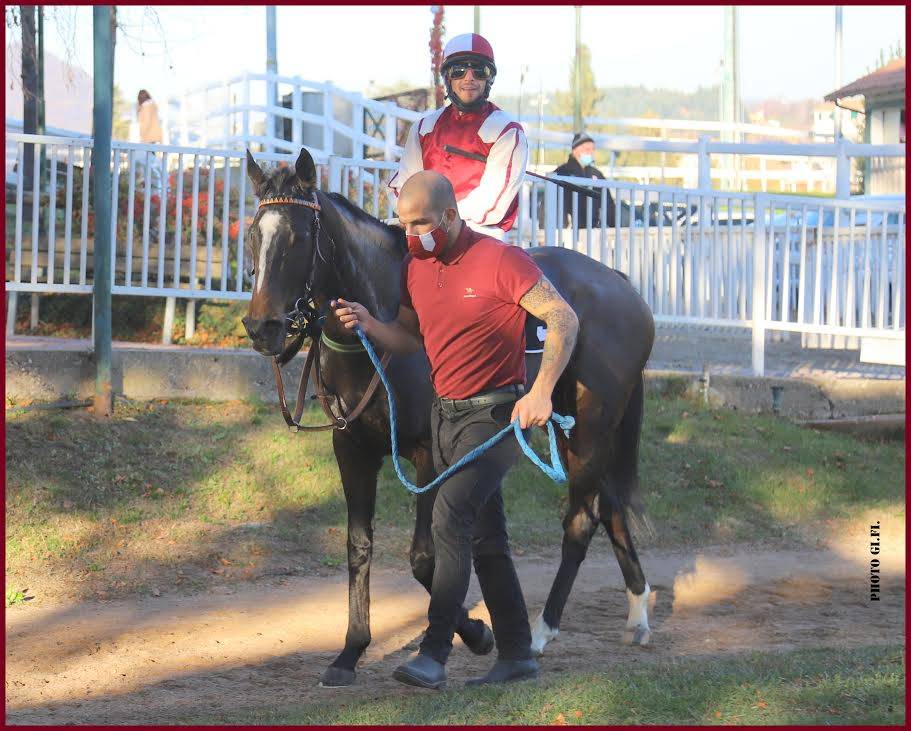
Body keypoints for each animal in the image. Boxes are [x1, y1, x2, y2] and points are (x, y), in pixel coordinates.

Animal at [242, 149, 656, 688]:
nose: (261, 326)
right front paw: (350, 651)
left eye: (297, 238)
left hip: (590, 427)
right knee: (609, 506)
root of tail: (622, 284)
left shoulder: (427, 453)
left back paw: (543, 631)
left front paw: (476, 634)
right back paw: (638, 611)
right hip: (570, 427)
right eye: (253, 234)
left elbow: (424, 559)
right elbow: (358, 545)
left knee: (583, 519)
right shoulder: (351, 448)